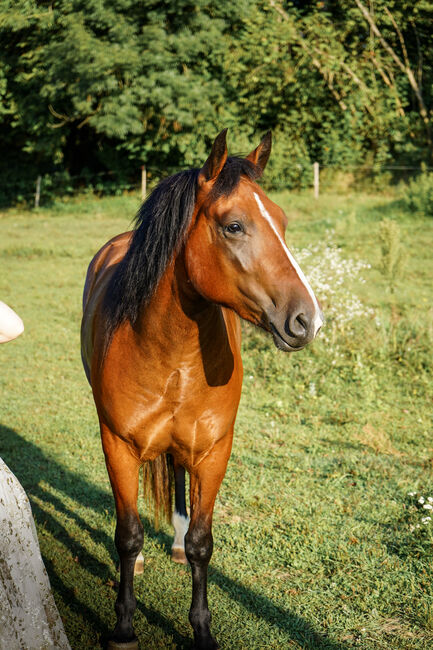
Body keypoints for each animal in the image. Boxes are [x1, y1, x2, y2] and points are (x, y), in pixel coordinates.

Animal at [81, 129, 322, 644]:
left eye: (283, 221)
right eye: (233, 226)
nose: (307, 320)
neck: (171, 355)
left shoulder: (214, 451)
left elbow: (201, 543)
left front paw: (203, 630)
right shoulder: (117, 445)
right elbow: (126, 534)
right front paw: (124, 627)